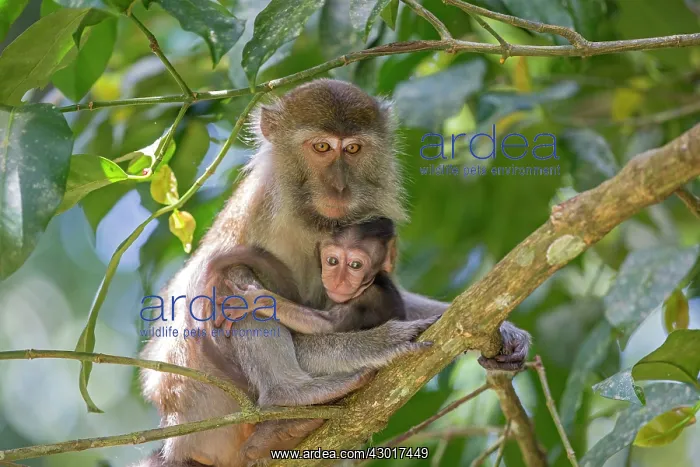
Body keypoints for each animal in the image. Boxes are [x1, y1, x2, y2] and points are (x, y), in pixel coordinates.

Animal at [137, 79, 530, 467]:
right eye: (322, 147)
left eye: (353, 149)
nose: (339, 187)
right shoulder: (262, 214)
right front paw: (383, 343)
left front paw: (502, 330)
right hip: (205, 400)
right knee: (230, 281)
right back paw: (292, 397)